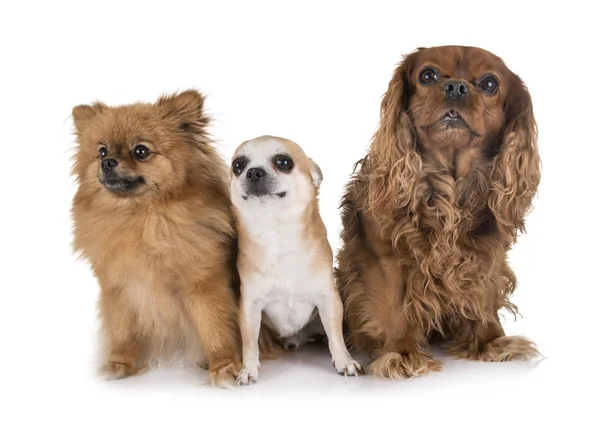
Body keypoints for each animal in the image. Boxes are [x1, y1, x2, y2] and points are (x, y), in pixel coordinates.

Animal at [72, 89, 244, 384]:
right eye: (102, 151)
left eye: (141, 151)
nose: (107, 162)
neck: (143, 220)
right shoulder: (119, 289)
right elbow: (122, 331)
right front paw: (119, 364)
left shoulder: (204, 286)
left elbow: (215, 327)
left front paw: (223, 367)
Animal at [230, 135, 360, 384]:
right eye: (238, 166)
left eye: (283, 162)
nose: (253, 172)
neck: (278, 234)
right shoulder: (250, 307)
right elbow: (249, 343)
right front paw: (248, 369)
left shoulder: (329, 300)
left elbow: (336, 336)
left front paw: (344, 361)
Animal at [338, 45, 540, 376]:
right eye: (428, 75)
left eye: (489, 84)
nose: (456, 87)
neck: (449, 186)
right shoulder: (383, 253)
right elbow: (393, 303)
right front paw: (401, 353)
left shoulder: (487, 254)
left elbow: (485, 298)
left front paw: (491, 342)